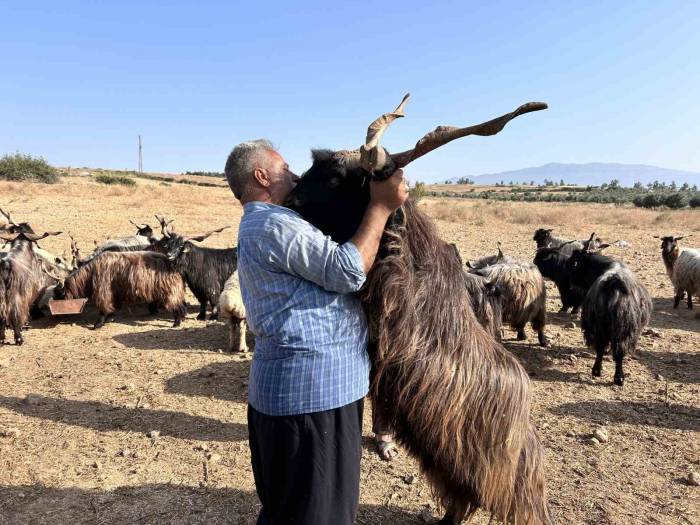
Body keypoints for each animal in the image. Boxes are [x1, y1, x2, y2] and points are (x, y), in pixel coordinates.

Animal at [53, 250, 186, 328]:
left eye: (59, 294)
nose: (57, 316)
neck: (90, 274)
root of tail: (173, 265)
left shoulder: (103, 291)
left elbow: (103, 308)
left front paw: (98, 324)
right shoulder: (113, 293)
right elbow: (112, 307)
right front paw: (110, 318)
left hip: (170, 290)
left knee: (177, 306)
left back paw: (176, 323)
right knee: (181, 305)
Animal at [568, 233, 652, 384]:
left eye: (574, 260)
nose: (571, 282)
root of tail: (614, 282)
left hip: (604, 324)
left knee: (604, 347)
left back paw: (604, 373)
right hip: (619, 327)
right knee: (615, 350)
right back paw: (613, 375)